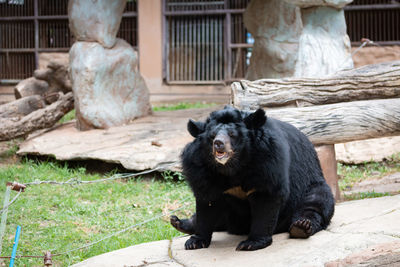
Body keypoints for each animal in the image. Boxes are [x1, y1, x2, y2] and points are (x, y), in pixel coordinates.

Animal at [171, 106, 334, 251]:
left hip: (310, 185)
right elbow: (207, 202)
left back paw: (301, 226)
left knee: (316, 202)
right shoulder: (201, 168)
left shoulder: (267, 161)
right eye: (212, 136)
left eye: (232, 134)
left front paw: (251, 243)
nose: (218, 144)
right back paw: (179, 222)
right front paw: (195, 242)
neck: (231, 167)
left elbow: (266, 197)